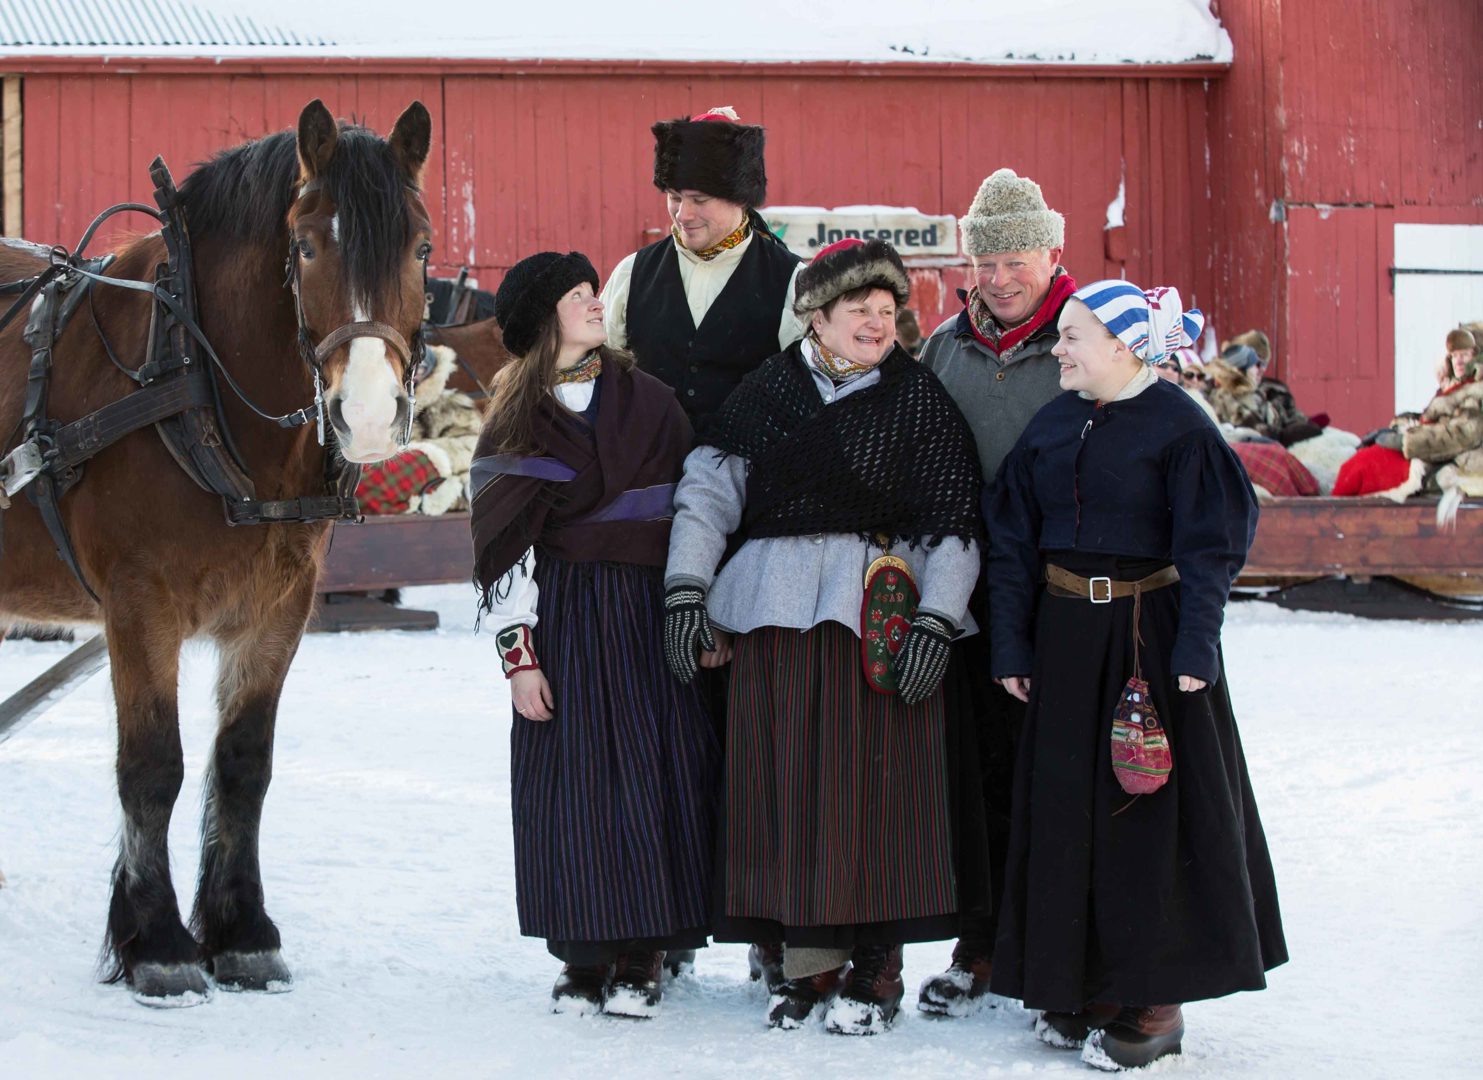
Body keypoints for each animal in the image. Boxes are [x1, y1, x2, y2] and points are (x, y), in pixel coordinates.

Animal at [0, 99, 436, 1002]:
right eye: (305, 246)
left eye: (420, 247)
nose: (366, 415)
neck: (193, 385)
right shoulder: (138, 606)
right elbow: (152, 766)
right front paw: (157, 942)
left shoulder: (279, 609)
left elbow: (243, 765)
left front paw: (241, 932)